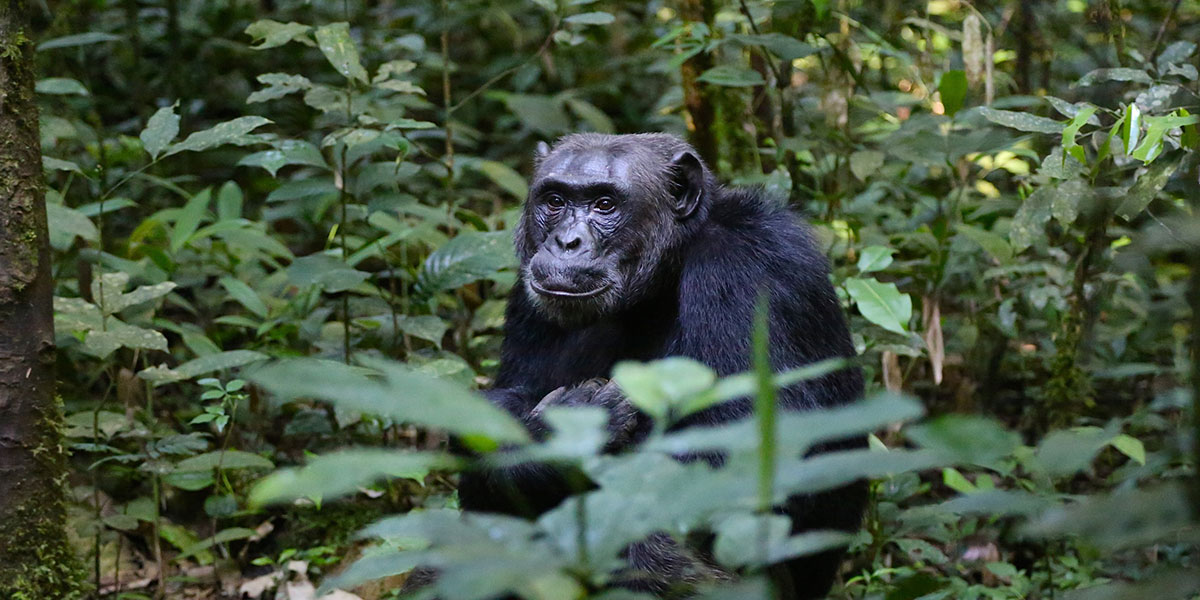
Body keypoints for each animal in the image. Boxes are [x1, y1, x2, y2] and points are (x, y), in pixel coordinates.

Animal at [456, 135, 864, 600]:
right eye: (555, 201)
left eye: (604, 204)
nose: (566, 241)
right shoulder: (528, 299)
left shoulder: (752, 269)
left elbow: (759, 454)